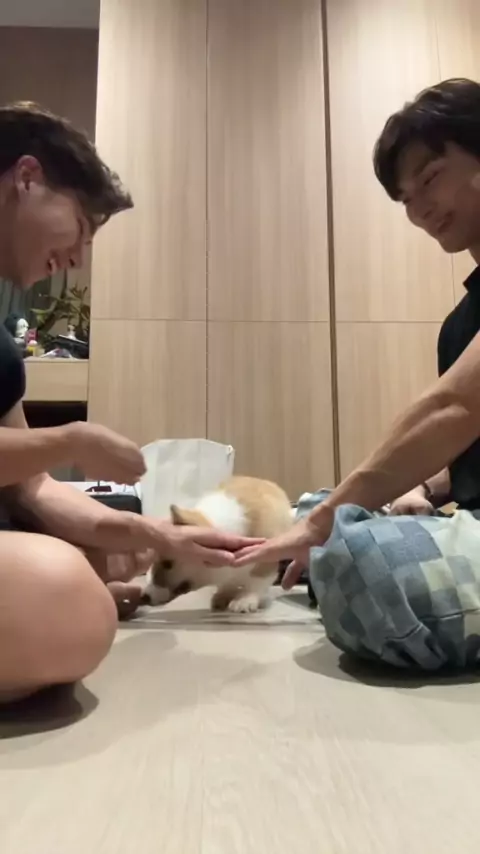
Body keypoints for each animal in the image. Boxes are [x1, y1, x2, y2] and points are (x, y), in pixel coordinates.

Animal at [143, 476, 293, 613]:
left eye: (167, 563)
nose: (144, 597)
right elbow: (228, 584)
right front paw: (221, 597)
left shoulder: (265, 564)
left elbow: (255, 584)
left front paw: (243, 601)